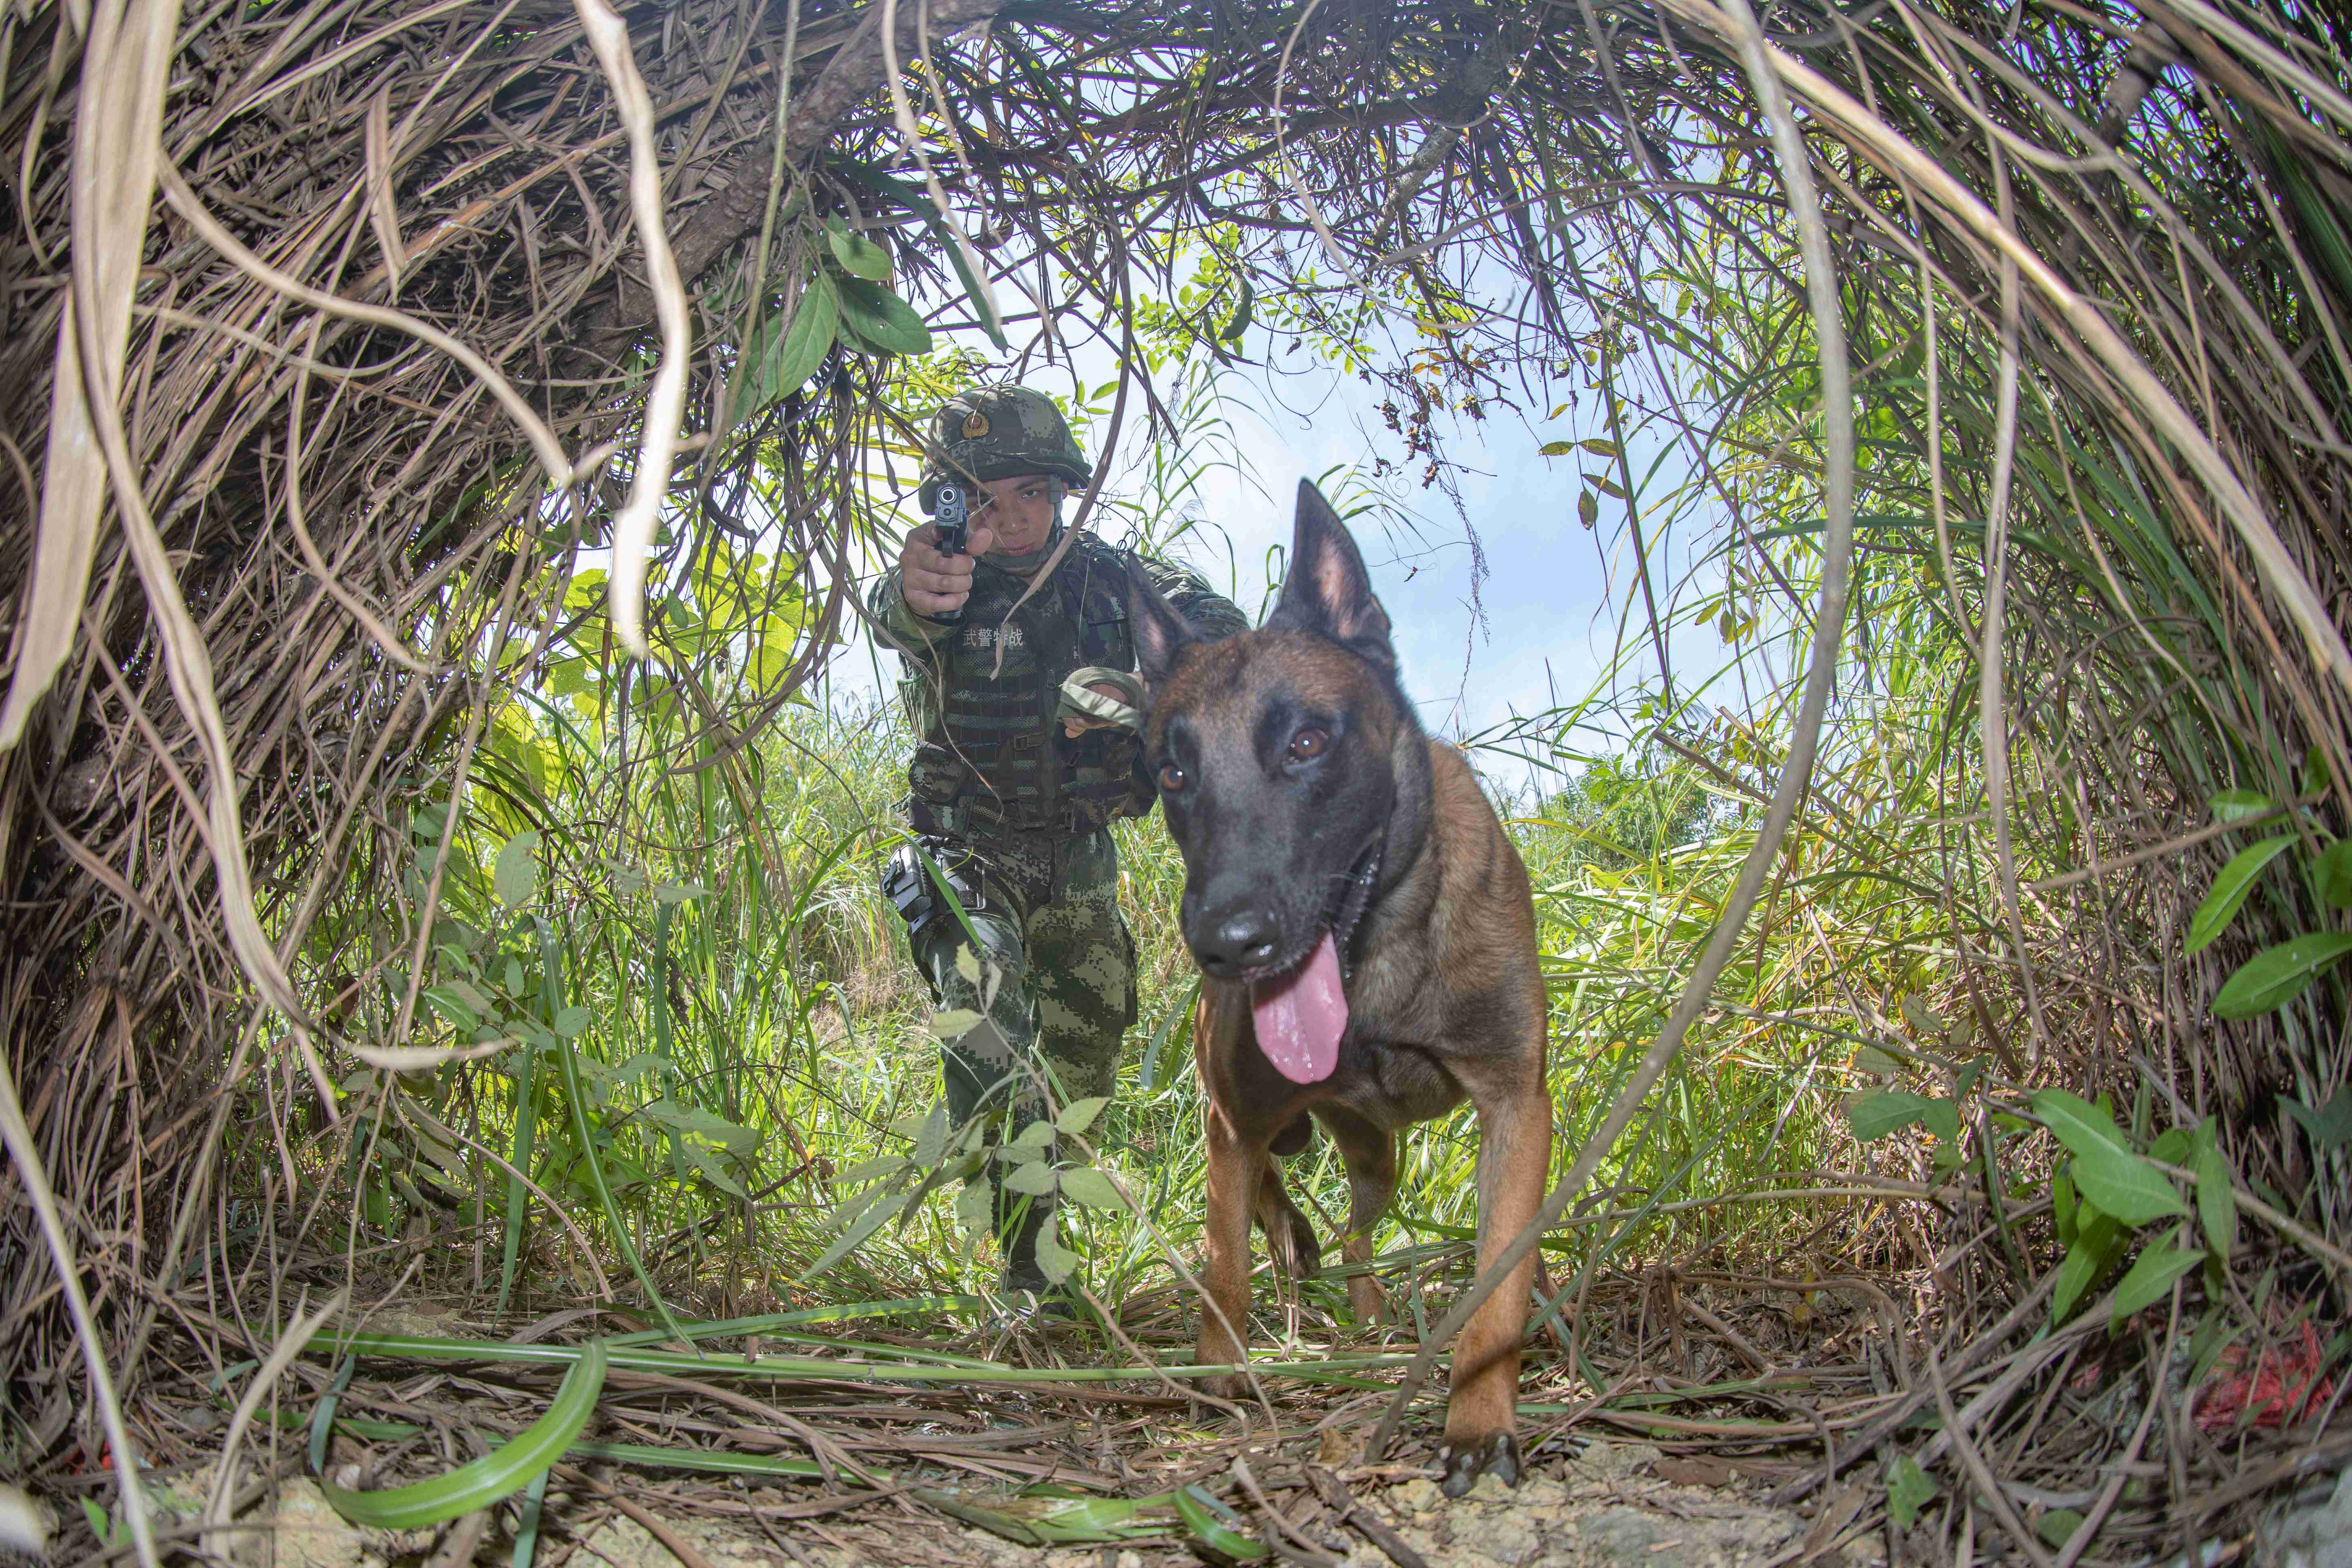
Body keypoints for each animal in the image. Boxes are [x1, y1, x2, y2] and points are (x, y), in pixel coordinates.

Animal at [1129, 479, 1552, 1495]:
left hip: (1379, 1160)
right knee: (1273, 1189)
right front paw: (1219, 1374)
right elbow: (1225, 1260)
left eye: (1308, 742)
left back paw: (1362, 1310)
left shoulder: (1516, 1106)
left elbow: (1498, 1282)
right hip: (1272, 1123)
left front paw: (1478, 1417)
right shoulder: (1233, 1114)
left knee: (1360, 1231)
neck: (1373, 969)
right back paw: (1295, 1244)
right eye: (1173, 771)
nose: (1226, 943)